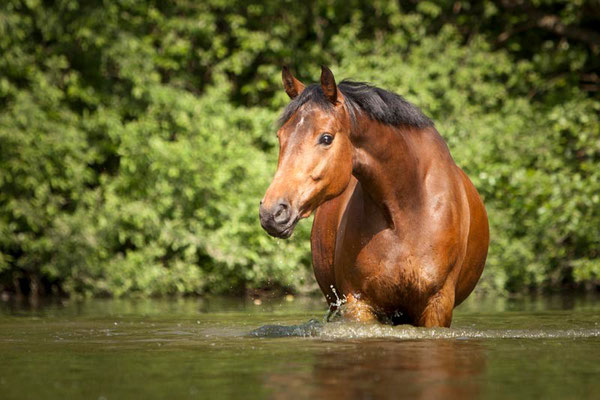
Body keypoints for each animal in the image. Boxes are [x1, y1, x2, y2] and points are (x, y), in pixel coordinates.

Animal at [258, 66, 488, 328]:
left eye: (326, 138)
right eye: (280, 137)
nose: (272, 212)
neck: (408, 209)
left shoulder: (437, 305)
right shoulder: (360, 304)